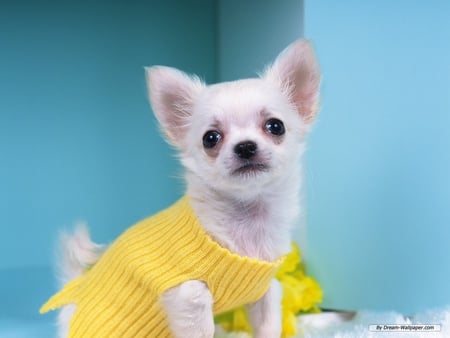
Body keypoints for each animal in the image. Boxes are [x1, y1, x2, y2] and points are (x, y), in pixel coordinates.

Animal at [40, 38, 318, 336]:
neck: (248, 219)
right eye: (211, 138)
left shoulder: (265, 292)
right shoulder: (190, 296)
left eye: (275, 126)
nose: (245, 146)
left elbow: (268, 327)